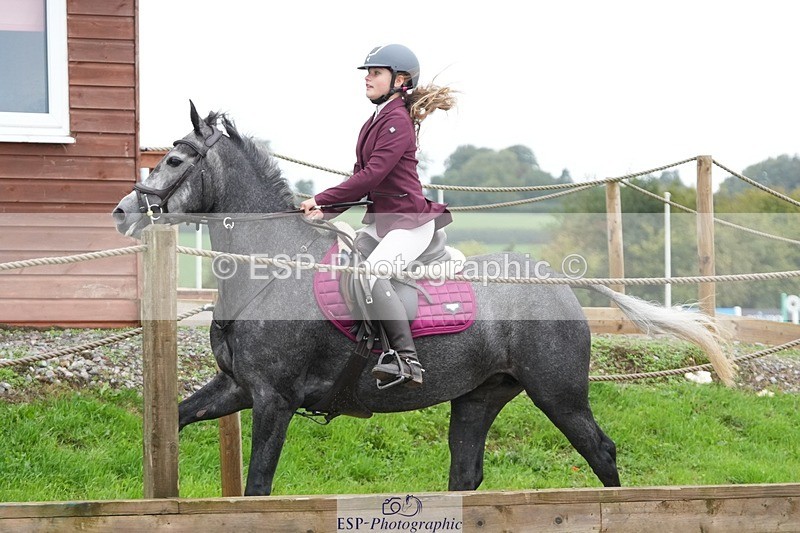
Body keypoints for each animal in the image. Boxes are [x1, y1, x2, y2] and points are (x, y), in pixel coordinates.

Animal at [112, 102, 734, 496]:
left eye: (174, 160)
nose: (122, 212)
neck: (270, 267)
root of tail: (554, 280)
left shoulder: (273, 400)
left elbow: (258, 488)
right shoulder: (238, 388)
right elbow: (176, 418)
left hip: (558, 393)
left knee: (601, 453)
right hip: (480, 397)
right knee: (466, 475)